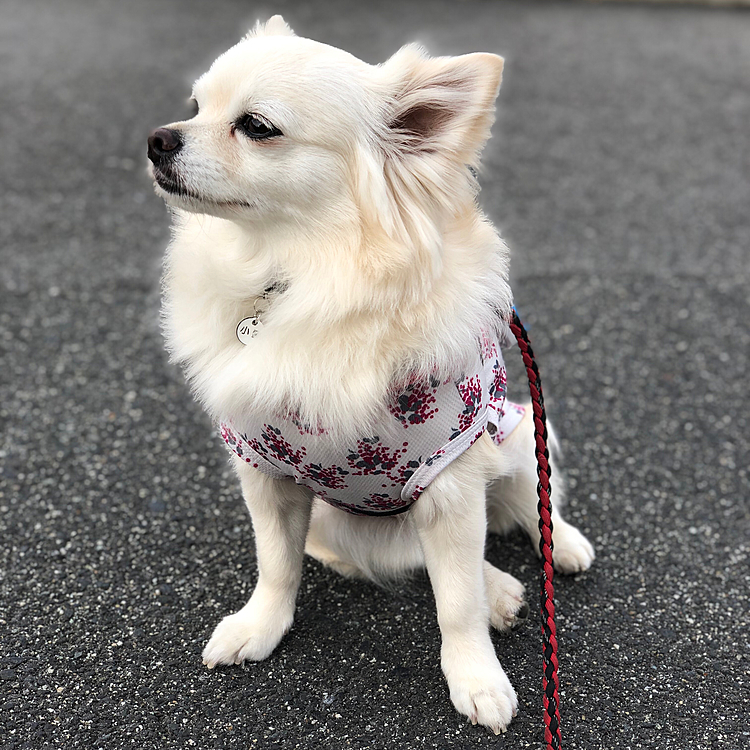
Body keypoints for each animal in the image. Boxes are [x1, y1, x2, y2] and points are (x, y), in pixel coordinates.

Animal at [148, 14, 592, 736]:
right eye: (194, 107)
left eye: (256, 126)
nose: (158, 138)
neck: (300, 281)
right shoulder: (266, 473)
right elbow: (276, 565)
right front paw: (260, 627)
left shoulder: (451, 479)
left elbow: (456, 604)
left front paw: (477, 678)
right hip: (342, 519)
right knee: (402, 554)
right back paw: (501, 586)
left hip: (519, 428)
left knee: (530, 503)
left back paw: (557, 550)